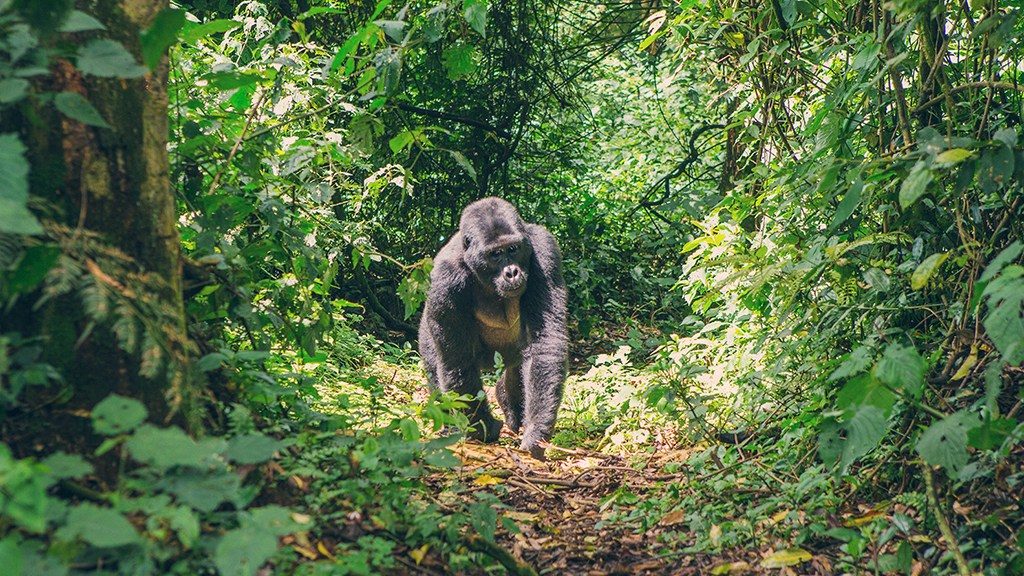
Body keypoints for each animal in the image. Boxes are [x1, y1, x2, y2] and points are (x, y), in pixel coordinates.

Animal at [415, 196, 569, 457]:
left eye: (513, 249)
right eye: (495, 254)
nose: (512, 272)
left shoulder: (545, 249)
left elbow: (545, 343)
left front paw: (536, 431)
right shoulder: (446, 278)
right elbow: (458, 361)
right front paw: (483, 428)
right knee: (437, 365)